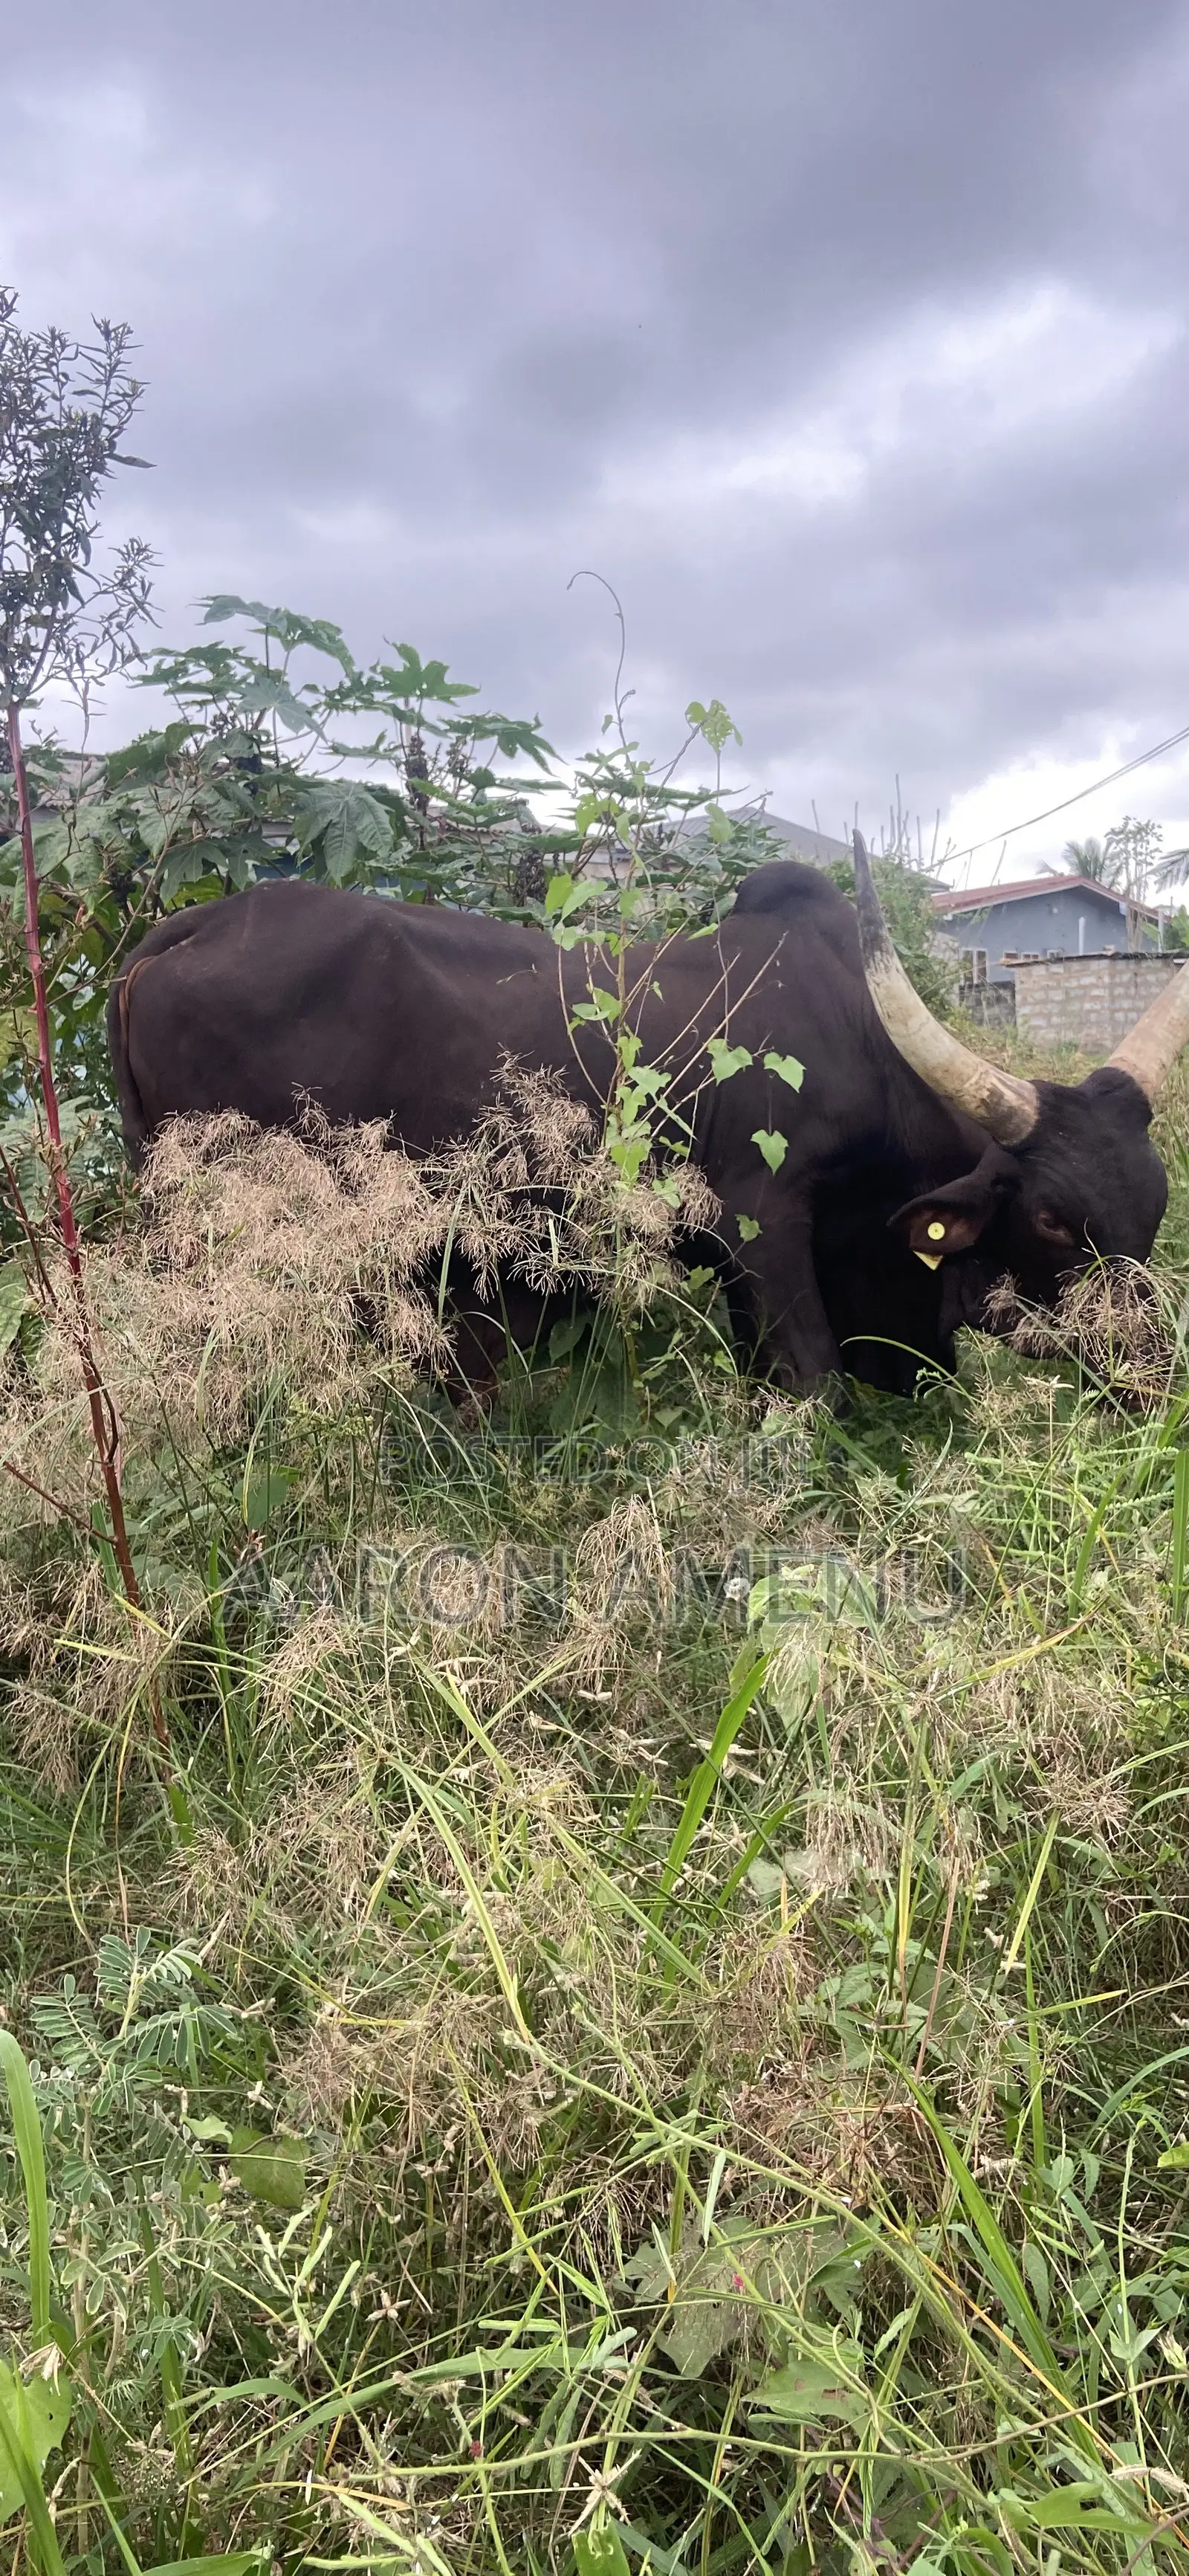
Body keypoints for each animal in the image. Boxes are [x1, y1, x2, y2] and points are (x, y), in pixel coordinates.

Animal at [107, 834, 1189, 1395]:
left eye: (1155, 1208)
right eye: (1051, 1219)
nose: (1152, 1374)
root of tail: (188, 927)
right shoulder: (762, 1225)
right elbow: (816, 1385)